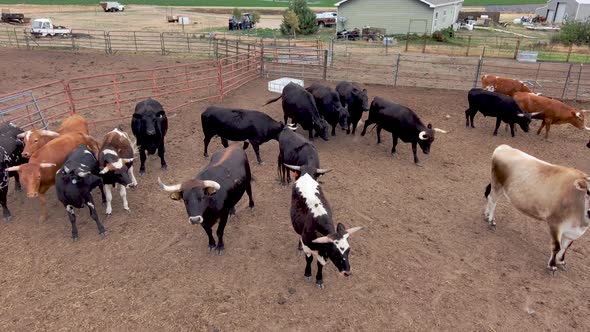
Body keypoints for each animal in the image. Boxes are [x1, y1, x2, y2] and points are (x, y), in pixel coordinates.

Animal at [486, 144, 590, 274]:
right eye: (588, 191)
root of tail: (503, 147)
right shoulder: (555, 222)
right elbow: (557, 246)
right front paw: (552, 266)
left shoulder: (572, 231)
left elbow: (565, 247)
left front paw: (561, 261)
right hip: (497, 184)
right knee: (492, 200)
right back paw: (491, 221)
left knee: (489, 198)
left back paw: (486, 216)